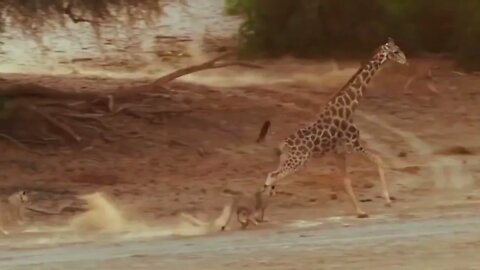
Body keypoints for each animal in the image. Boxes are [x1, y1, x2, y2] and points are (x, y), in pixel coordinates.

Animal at [264, 37, 406, 217]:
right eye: (395, 51)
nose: (405, 60)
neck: (350, 107)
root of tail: (283, 144)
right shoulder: (353, 143)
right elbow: (378, 160)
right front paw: (387, 201)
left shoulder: (339, 151)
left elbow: (345, 180)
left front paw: (360, 211)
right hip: (298, 161)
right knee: (272, 177)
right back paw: (259, 216)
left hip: (287, 159)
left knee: (271, 178)